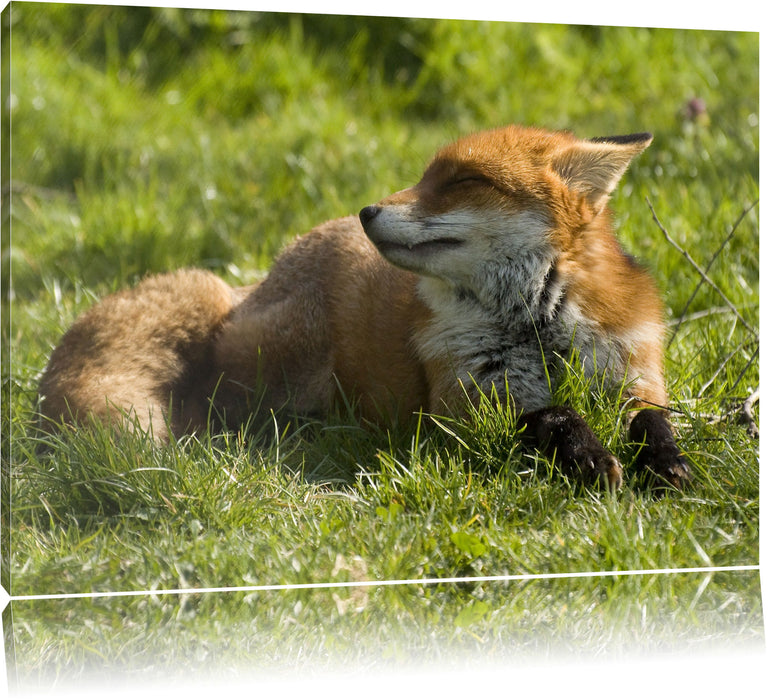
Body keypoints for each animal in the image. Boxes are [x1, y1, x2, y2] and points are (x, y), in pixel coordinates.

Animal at [38, 123, 692, 490]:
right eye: (424, 176)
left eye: (462, 182)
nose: (367, 211)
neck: (536, 328)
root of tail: (250, 285)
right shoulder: (463, 408)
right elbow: (553, 415)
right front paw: (590, 458)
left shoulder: (633, 373)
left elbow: (653, 420)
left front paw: (667, 464)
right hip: (293, 366)